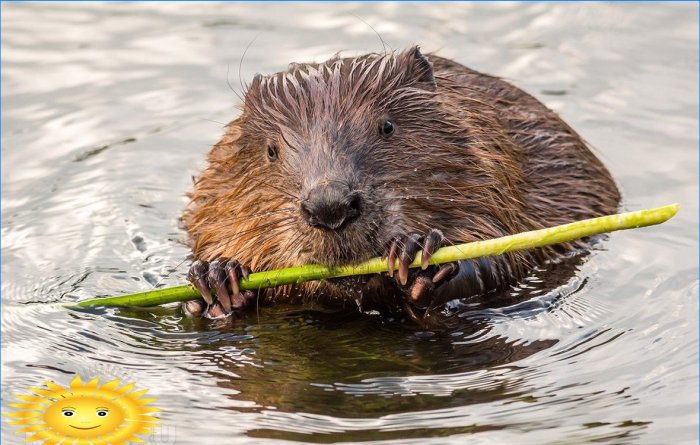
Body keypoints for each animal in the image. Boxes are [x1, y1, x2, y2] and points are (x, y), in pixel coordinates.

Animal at [179, 46, 616, 320]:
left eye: (387, 126)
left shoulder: (500, 173)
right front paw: (218, 279)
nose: (329, 207)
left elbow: (503, 251)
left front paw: (420, 255)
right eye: (271, 150)